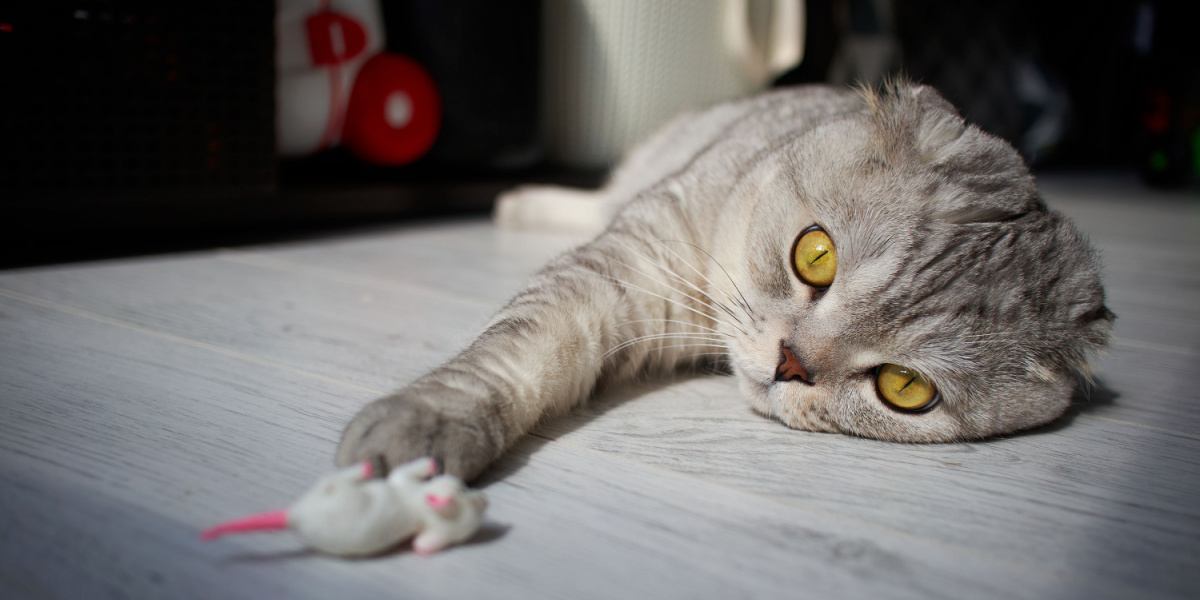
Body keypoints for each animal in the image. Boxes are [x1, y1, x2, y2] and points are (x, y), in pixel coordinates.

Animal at [333, 81, 1108, 482]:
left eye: (905, 388)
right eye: (815, 256)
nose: (791, 364)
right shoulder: (628, 260)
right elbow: (517, 353)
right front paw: (424, 424)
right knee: (597, 196)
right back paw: (518, 202)